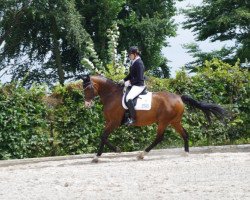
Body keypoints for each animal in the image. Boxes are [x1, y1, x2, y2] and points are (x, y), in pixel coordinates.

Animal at [80, 74, 227, 162]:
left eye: (88, 88)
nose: (86, 104)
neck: (111, 95)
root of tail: (179, 97)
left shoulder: (114, 122)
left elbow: (104, 136)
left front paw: (105, 154)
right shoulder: (109, 122)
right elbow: (103, 137)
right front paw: (102, 154)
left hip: (163, 121)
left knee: (159, 138)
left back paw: (142, 154)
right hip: (174, 121)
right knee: (185, 134)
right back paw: (185, 153)